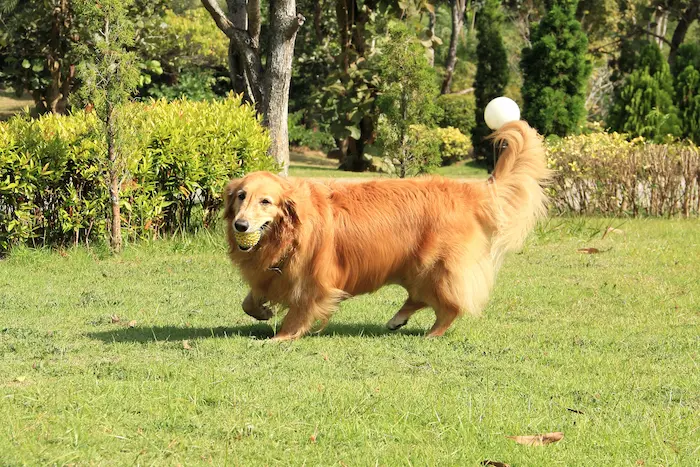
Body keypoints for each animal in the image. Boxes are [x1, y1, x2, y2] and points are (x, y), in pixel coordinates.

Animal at [224, 120, 552, 340]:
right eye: (241, 196)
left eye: (265, 201)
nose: (241, 225)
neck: (286, 235)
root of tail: (467, 191)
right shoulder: (271, 273)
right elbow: (248, 300)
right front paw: (263, 311)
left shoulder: (314, 279)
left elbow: (299, 311)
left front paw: (281, 337)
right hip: (413, 266)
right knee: (420, 297)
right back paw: (397, 320)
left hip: (435, 265)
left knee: (450, 305)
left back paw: (433, 332)